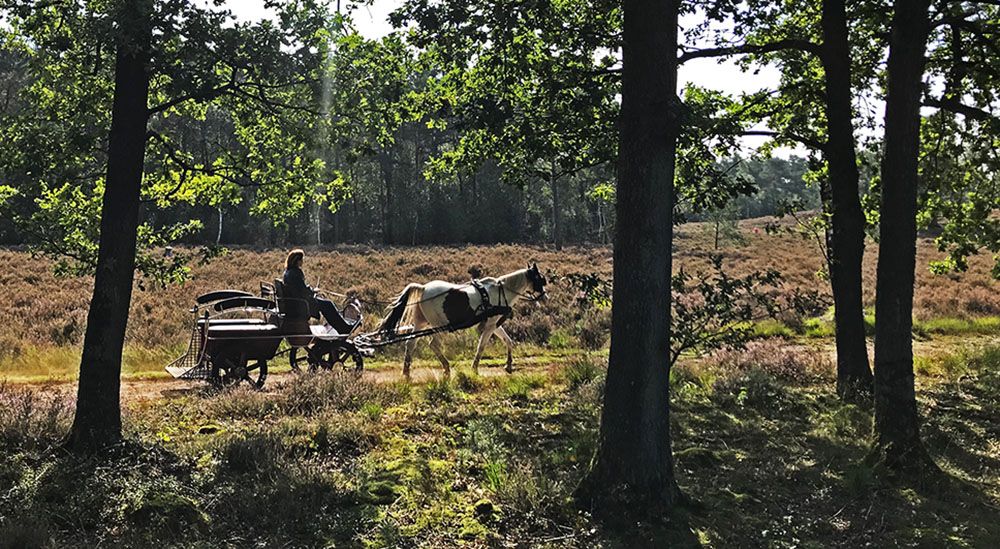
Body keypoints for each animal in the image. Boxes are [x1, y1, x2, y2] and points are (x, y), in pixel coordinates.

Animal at [376, 262, 548, 374]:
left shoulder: (494, 324)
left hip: (422, 323)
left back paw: (406, 372)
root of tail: (423, 288)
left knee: (410, 343)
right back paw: (446, 367)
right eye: (539, 279)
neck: (502, 291)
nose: (546, 298)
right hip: (439, 326)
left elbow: (508, 340)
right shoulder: (490, 325)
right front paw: (475, 368)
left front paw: (509, 364)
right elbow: (481, 346)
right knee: (433, 344)